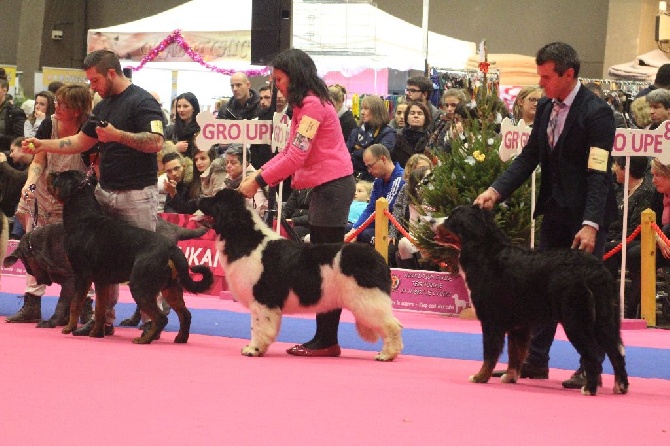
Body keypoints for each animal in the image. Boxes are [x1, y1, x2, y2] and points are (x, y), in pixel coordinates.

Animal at [46, 169, 214, 344]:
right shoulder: (102, 280)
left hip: (141, 285)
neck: (82, 218)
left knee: (160, 317)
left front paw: (69, 328)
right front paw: (96, 333)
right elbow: (100, 309)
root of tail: (171, 249)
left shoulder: (81, 275)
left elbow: (75, 304)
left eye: (59, 176)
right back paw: (180, 338)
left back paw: (145, 339)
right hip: (171, 286)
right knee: (185, 313)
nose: (51, 172)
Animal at [197, 189, 402, 362]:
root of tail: (378, 257)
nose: (198, 198)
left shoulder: (262, 301)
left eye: (216, 199)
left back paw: (387, 355)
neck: (244, 238)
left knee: (392, 326)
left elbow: (259, 327)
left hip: (368, 300)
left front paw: (253, 350)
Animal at [434, 206, 632, 398]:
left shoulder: (491, 320)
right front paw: (510, 377)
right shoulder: (520, 324)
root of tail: (595, 269)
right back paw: (620, 387)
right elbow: (515, 353)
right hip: (606, 319)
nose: (431, 221)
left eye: (450, 218)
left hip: (576, 320)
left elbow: (490, 353)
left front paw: (480, 376)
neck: (484, 252)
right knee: (616, 353)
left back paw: (589, 388)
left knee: (592, 354)